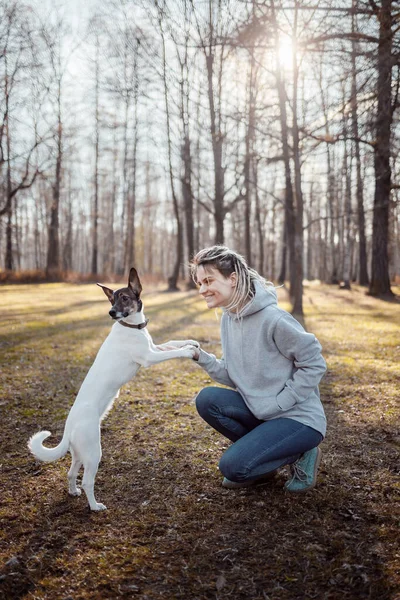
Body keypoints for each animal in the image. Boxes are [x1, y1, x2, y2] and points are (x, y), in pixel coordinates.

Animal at [27, 268, 199, 510]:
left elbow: (173, 342)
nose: (110, 312)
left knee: (71, 473)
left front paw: (191, 342)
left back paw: (73, 492)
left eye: (124, 298)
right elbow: (174, 351)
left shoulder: (154, 348)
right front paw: (188, 351)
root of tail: (69, 427)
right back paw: (95, 506)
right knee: (87, 481)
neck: (132, 327)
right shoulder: (149, 357)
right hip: (93, 452)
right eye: (112, 300)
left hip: (79, 453)